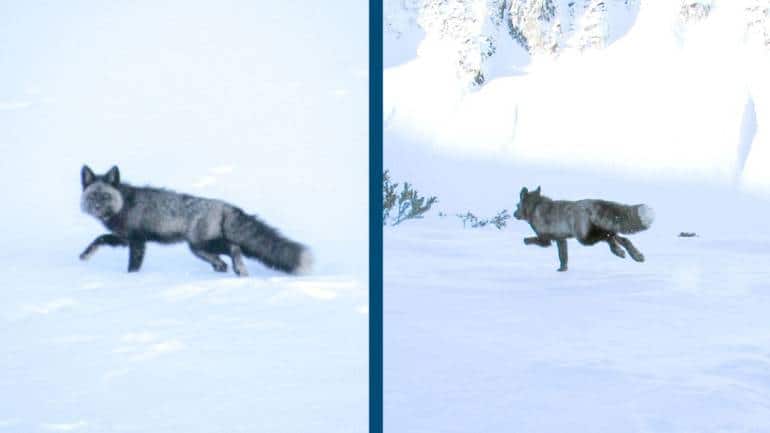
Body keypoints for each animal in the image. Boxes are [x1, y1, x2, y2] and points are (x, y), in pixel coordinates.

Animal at [79, 165, 312, 276]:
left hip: (203, 244)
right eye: (92, 196)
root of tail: (224, 205)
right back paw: (226, 269)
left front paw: (130, 279)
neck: (124, 204)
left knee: (234, 247)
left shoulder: (137, 242)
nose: (96, 208)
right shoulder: (123, 239)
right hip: (198, 248)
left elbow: (133, 265)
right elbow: (100, 239)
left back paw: (239, 269)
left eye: (105, 196)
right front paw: (84, 256)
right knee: (224, 259)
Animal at [513, 186, 654, 272]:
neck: (535, 207)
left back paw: (619, 251)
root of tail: (592, 203)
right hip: (600, 229)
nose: (514, 214)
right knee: (620, 238)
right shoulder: (561, 239)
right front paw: (562, 270)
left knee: (609, 238)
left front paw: (525, 241)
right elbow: (563, 257)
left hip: (584, 238)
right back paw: (636, 255)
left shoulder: (545, 239)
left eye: (517, 205)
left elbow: (528, 240)